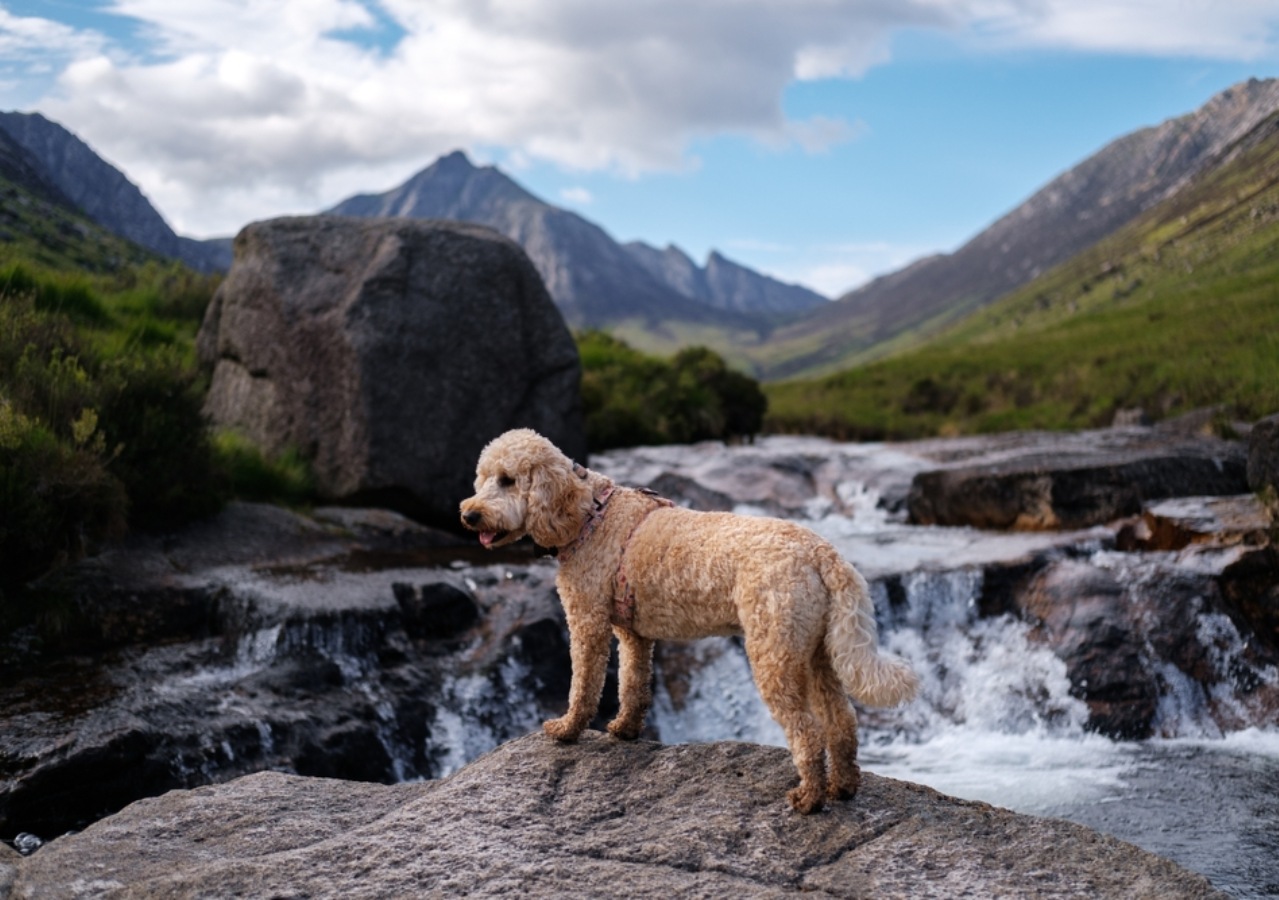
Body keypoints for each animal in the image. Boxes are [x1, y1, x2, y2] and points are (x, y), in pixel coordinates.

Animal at [460, 429, 920, 818]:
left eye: (507, 480)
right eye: (481, 479)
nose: (469, 514)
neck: (589, 514)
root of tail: (823, 553)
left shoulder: (587, 621)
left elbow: (584, 683)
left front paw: (567, 729)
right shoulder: (633, 634)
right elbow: (633, 683)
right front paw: (625, 729)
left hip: (775, 652)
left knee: (807, 731)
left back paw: (809, 798)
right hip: (816, 651)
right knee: (841, 720)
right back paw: (843, 786)